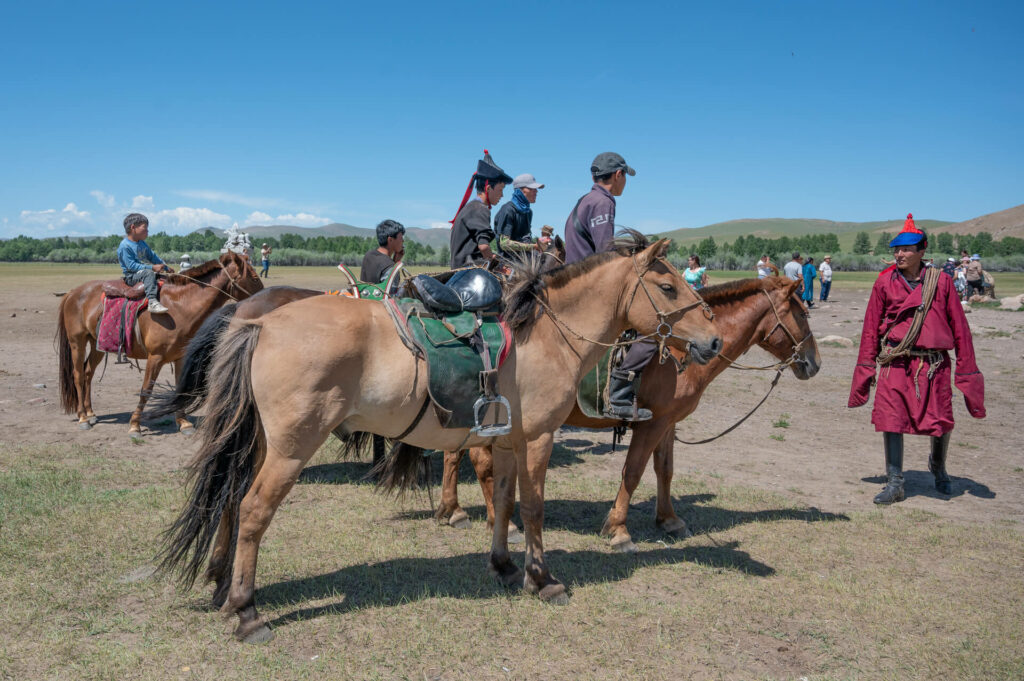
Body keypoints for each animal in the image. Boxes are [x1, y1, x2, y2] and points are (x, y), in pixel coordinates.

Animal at [54, 251, 264, 438]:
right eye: (254, 277)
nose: (264, 300)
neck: (179, 306)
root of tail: (73, 292)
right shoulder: (155, 357)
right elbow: (146, 390)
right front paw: (135, 425)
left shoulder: (180, 357)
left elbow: (180, 389)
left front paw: (184, 423)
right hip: (77, 342)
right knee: (78, 375)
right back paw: (83, 418)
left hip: (98, 344)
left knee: (88, 373)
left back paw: (90, 413)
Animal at [153, 235, 720, 643]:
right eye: (669, 288)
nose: (713, 340)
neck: (546, 336)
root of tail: (262, 323)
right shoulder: (537, 440)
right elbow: (534, 508)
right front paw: (543, 579)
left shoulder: (507, 441)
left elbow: (505, 501)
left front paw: (504, 565)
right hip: (292, 449)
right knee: (253, 511)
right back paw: (247, 612)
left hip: (261, 445)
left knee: (230, 499)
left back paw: (222, 584)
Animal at [436, 276, 819, 552]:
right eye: (802, 313)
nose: (814, 363)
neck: (681, 349)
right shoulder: (651, 424)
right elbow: (633, 472)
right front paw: (618, 530)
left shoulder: (668, 423)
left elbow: (665, 470)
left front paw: (669, 520)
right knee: (480, 462)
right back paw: (499, 522)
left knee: (454, 455)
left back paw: (452, 510)